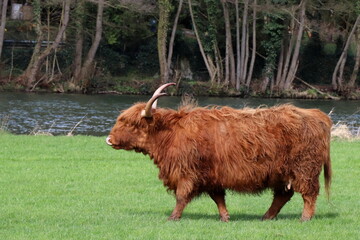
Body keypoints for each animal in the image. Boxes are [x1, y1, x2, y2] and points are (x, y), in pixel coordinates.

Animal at [107, 82, 332, 221]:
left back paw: (305, 218)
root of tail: (315, 114)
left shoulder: (187, 172)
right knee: (283, 195)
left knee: (309, 193)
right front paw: (225, 217)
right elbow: (218, 198)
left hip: (305, 168)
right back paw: (266, 216)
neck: (170, 134)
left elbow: (181, 196)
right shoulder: (211, 175)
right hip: (281, 173)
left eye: (131, 124)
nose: (109, 139)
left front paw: (173, 217)